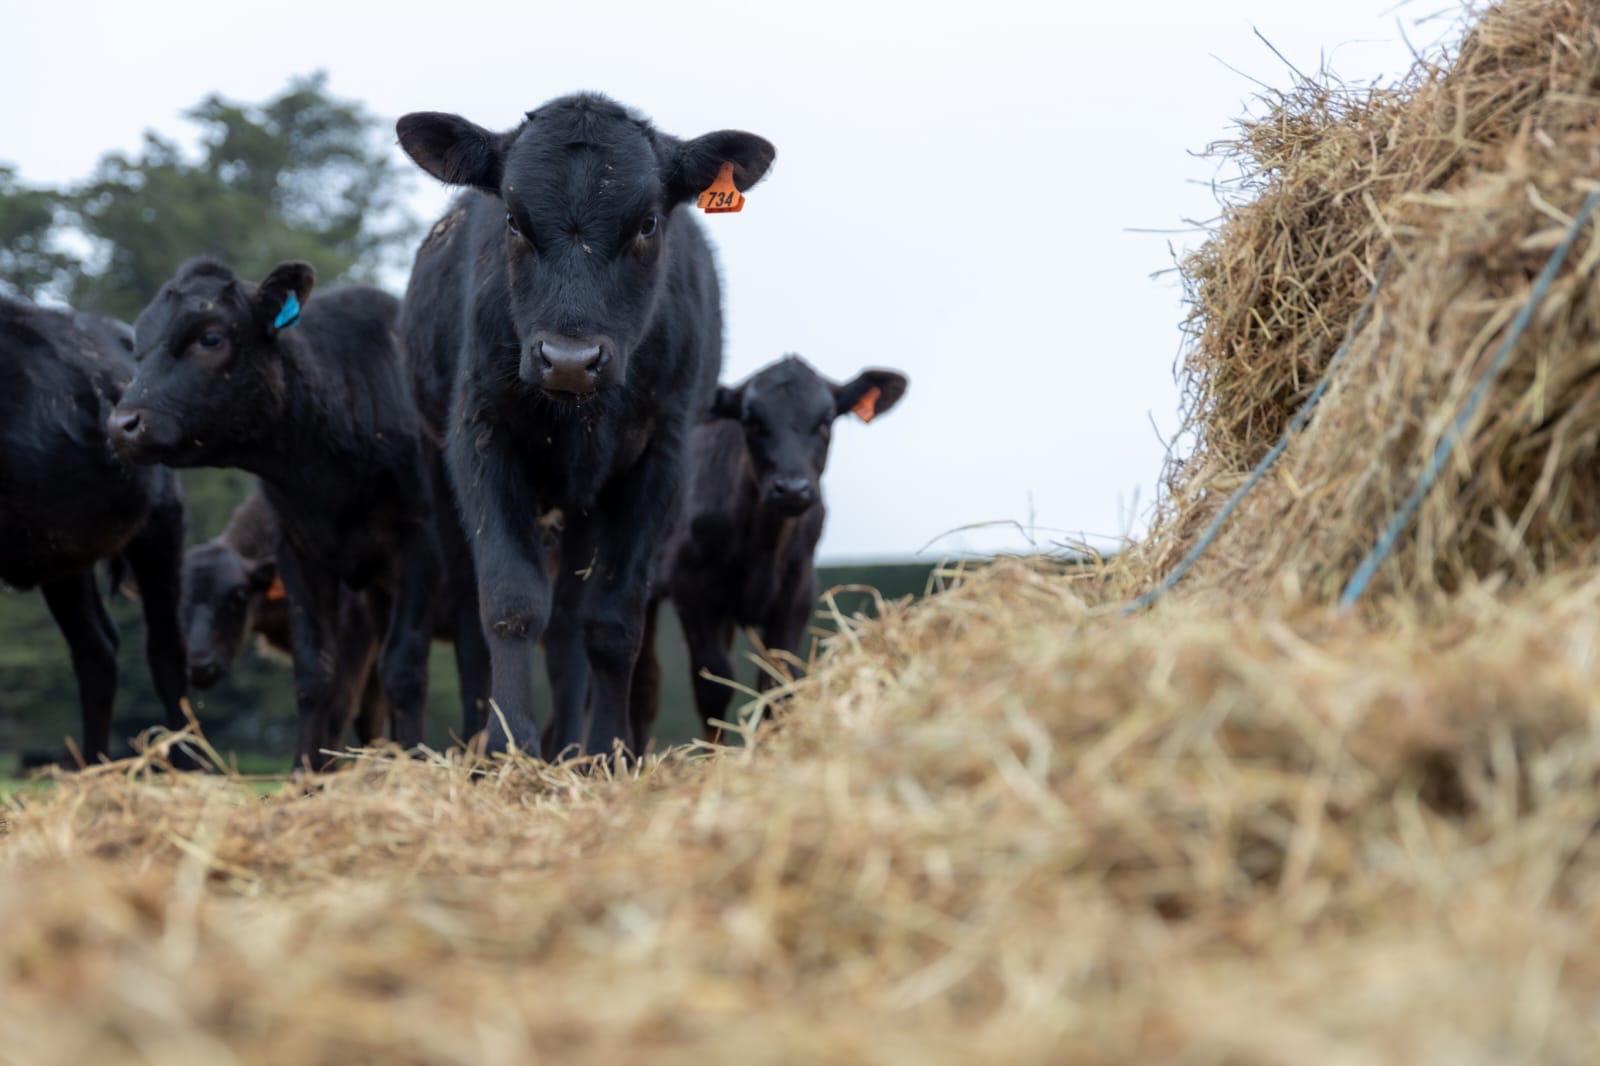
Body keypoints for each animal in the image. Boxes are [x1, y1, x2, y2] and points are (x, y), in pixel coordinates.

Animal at [0, 294, 190, 763]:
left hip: (160, 526)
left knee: (166, 650)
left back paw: (189, 764)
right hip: (62, 555)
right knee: (97, 650)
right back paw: (91, 768)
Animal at [395, 92, 775, 758]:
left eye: (647, 223)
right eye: (514, 220)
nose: (569, 359)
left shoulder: (661, 459)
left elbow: (612, 620)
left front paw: (604, 754)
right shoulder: (480, 436)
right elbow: (510, 601)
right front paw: (508, 748)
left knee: (570, 628)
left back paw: (571, 748)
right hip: (438, 467)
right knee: (473, 618)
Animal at [630, 356, 908, 745]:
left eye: (826, 419)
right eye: (752, 420)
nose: (791, 488)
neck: (762, 541)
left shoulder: (797, 590)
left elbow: (779, 681)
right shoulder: (692, 591)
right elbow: (713, 684)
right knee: (644, 686)